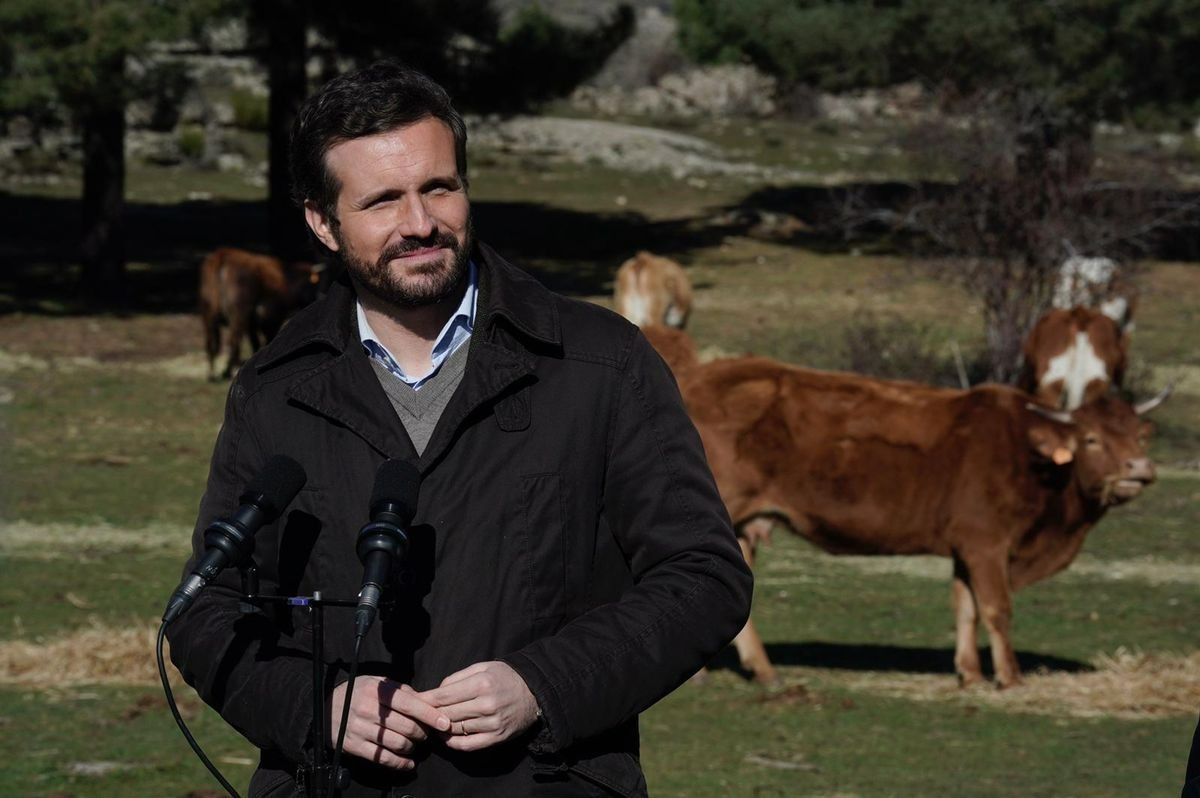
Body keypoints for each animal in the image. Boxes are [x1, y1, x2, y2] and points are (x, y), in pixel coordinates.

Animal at [200, 246, 326, 379]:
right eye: (314, 284)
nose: (318, 296)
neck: (285, 279)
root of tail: (223, 254)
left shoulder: (253, 323)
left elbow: (255, 342)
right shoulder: (273, 318)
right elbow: (267, 340)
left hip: (207, 310)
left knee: (210, 341)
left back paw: (212, 374)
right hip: (238, 313)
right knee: (233, 340)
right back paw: (230, 370)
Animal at [672, 352, 1166, 686]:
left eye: (1139, 436)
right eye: (1091, 439)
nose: (1139, 469)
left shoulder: (966, 548)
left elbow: (966, 607)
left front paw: (970, 674)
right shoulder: (987, 544)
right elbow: (996, 608)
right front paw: (1009, 677)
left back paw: (762, 668)